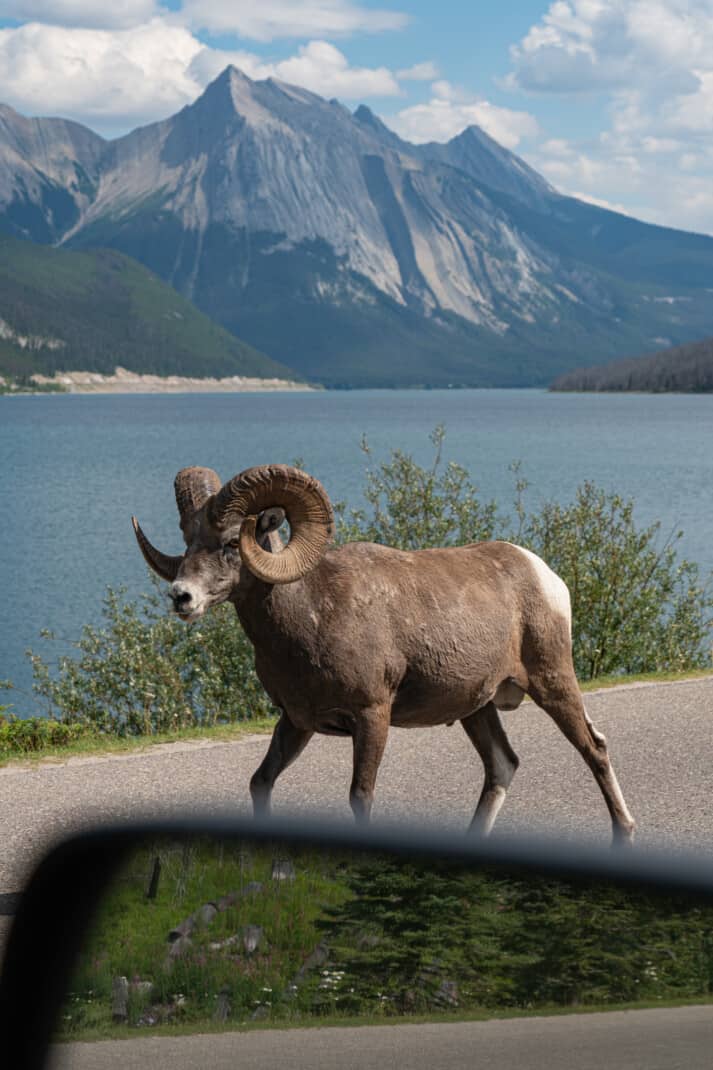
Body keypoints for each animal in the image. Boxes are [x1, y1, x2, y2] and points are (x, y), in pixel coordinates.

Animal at [131, 466, 633, 843]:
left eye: (232, 542)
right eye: (188, 540)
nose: (182, 597)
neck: (311, 614)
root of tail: (546, 576)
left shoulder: (372, 716)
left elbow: (361, 797)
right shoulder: (296, 722)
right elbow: (261, 782)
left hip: (552, 682)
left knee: (594, 748)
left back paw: (624, 834)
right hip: (477, 708)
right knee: (502, 766)